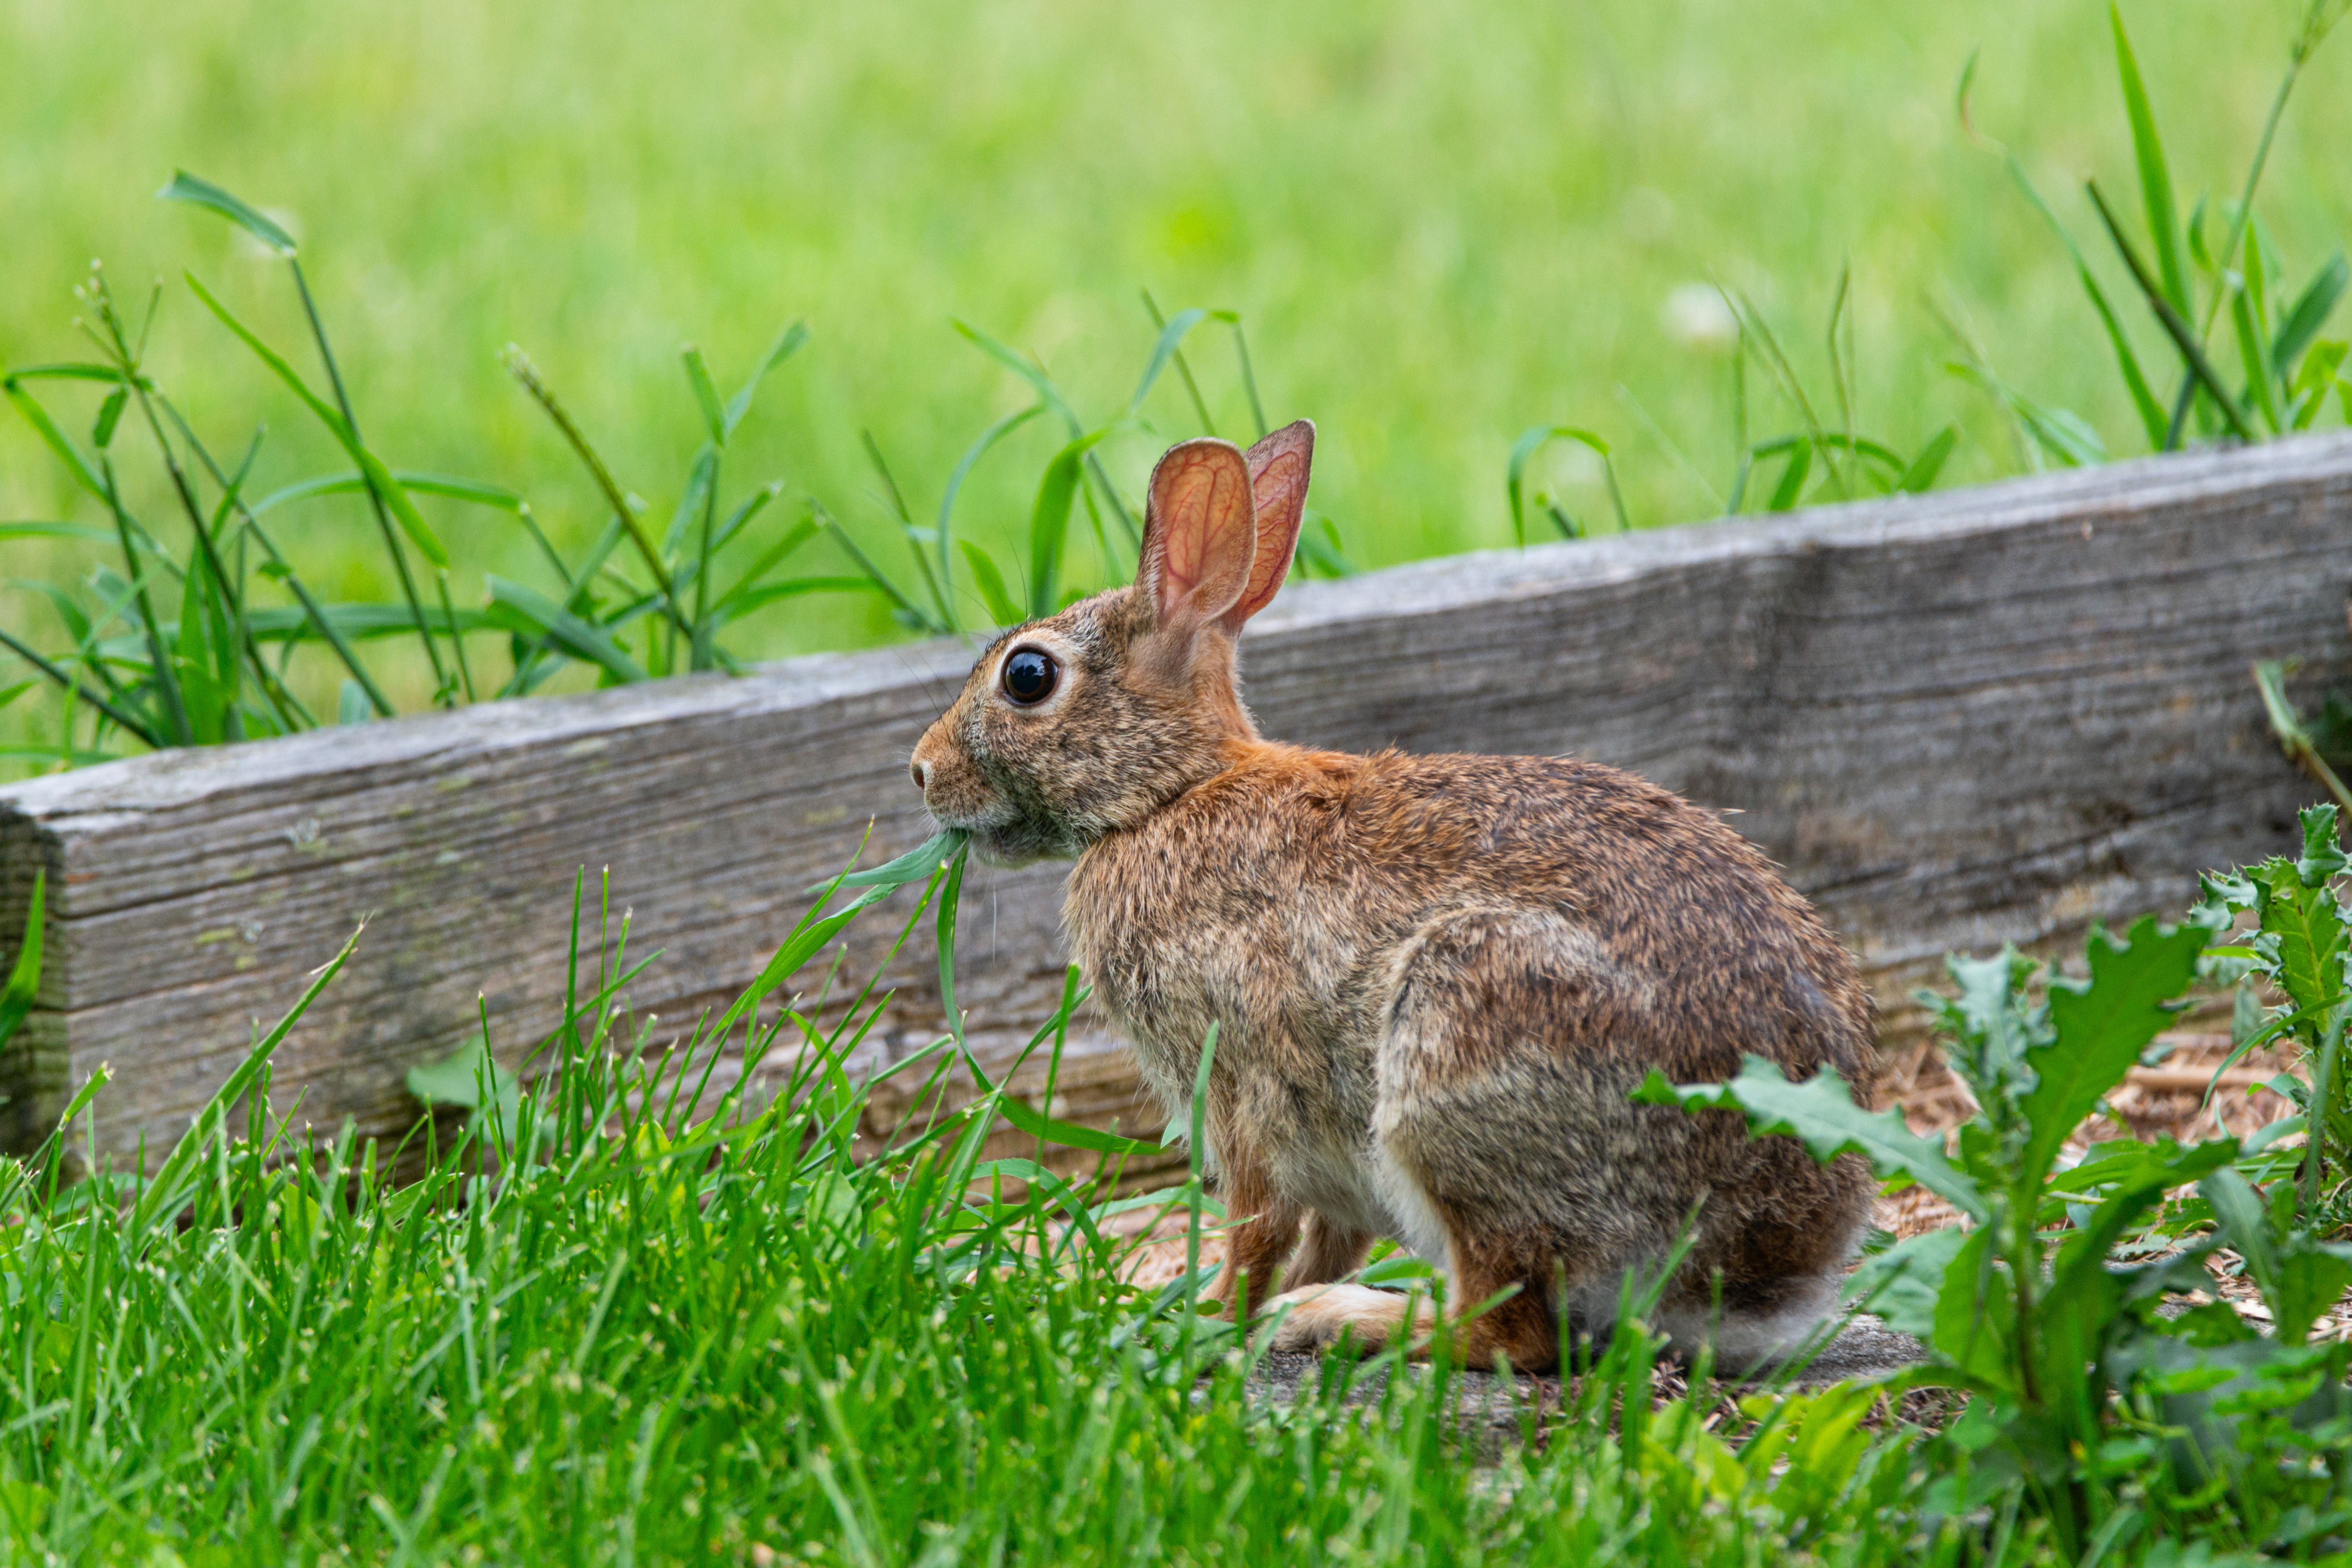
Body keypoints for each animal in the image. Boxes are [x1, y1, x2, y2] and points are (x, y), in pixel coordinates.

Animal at [908, 421, 1880, 1372]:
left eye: (1027, 677)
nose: (920, 771)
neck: (1170, 793)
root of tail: (1766, 1274)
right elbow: (1325, 1234)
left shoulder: (1242, 1082)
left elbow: (1256, 1227)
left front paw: (1205, 1323)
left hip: (1461, 1041)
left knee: (1506, 1330)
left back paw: (1337, 1321)